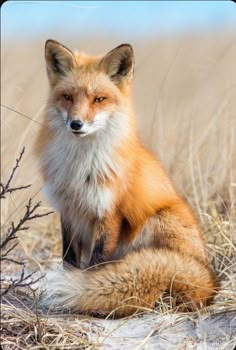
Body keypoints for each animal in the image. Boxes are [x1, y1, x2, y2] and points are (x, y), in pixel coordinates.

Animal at [35, 39, 218, 318]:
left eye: (99, 99)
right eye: (68, 97)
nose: (76, 124)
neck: (81, 168)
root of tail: (209, 281)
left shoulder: (108, 212)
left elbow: (96, 265)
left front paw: (86, 293)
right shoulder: (68, 210)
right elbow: (69, 258)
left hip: (157, 220)